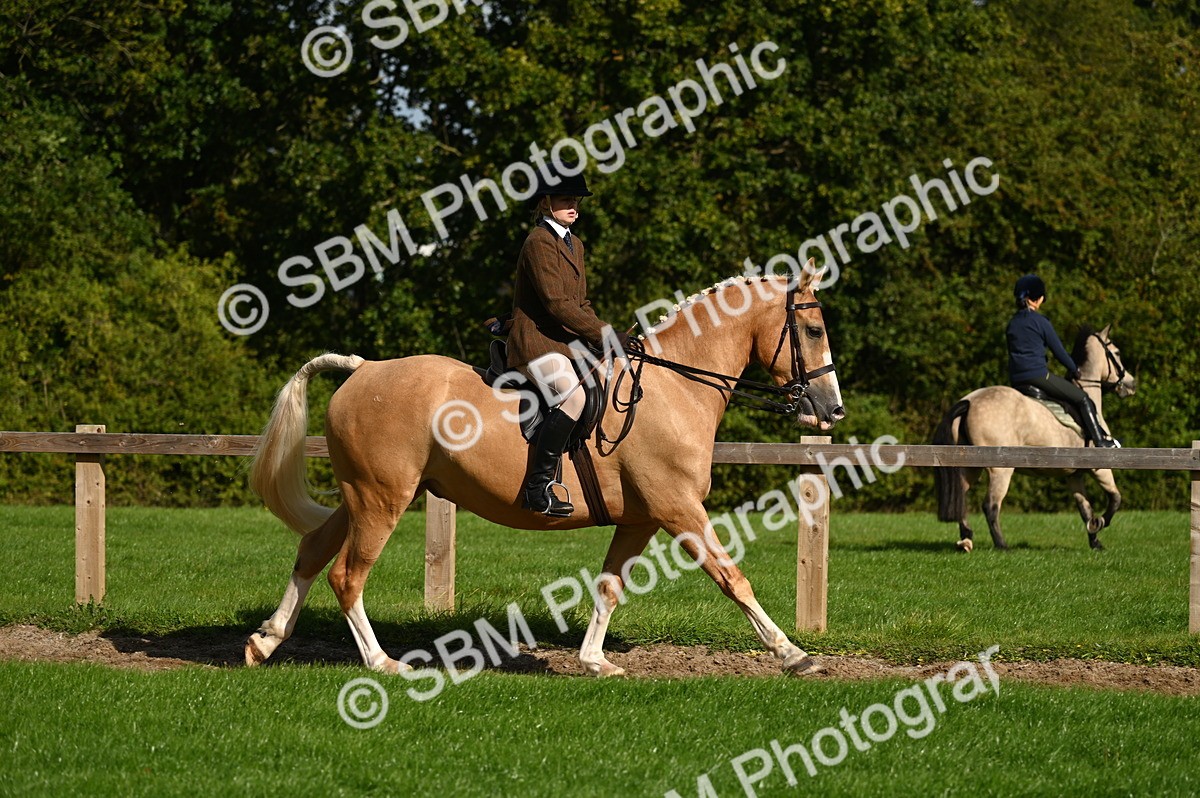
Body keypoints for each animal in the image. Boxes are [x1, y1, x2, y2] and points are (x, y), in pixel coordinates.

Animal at [243, 266, 845, 677]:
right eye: (814, 330)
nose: (832, 410)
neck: (676, 387)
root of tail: (363, 368)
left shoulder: (642, 519)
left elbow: (608, 586)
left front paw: (595, 661)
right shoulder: (679, 510)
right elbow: (732, 577)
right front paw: (794, 655)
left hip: (367, 496)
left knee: (313, 551)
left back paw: (265, 640)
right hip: (381, 499)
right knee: (348, 574)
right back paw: (382, 663)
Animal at [933, 325, 1136, 552]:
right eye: (1117, 352)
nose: (1131, 384)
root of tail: (969, 401)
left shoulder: (1074, 476)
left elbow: (1085, 509)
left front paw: (1095, 540)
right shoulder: (1100, 468)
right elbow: (1116, 498)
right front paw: (1100, 522)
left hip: (969, 466)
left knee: (962, 497)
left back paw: (966, 540)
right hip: (1000, 469)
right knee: (990, 505)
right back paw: (1002, 545)